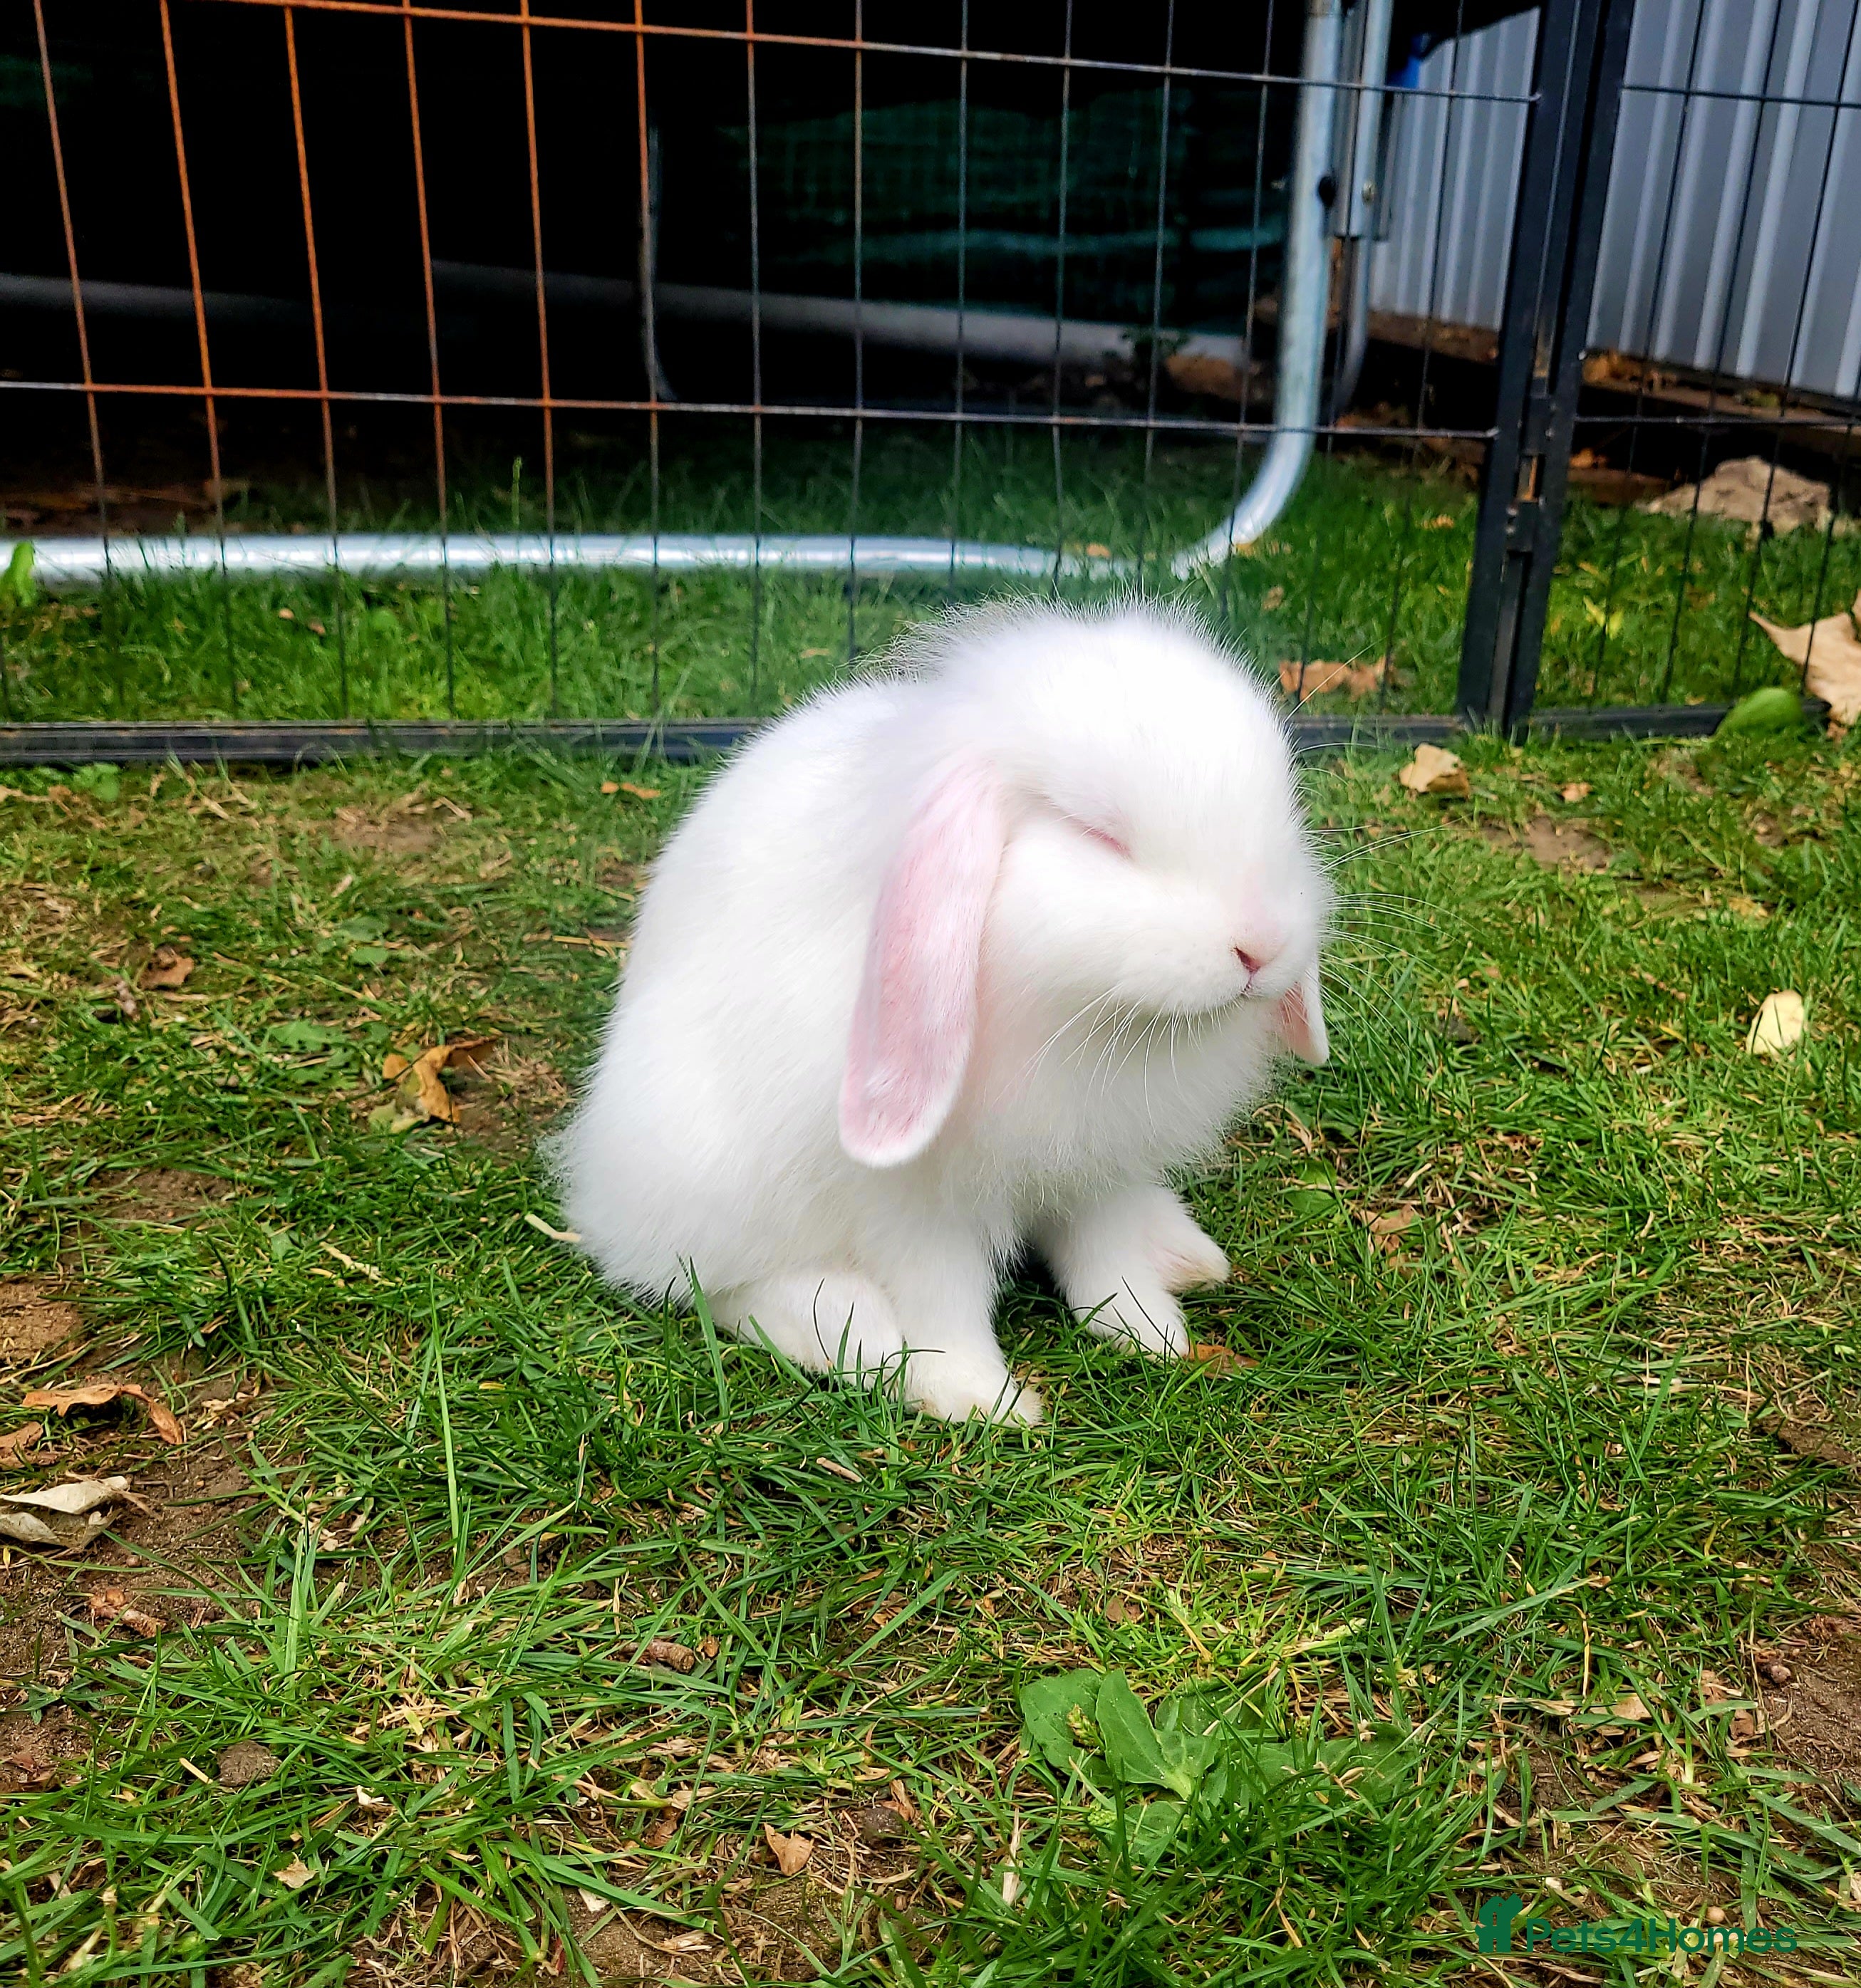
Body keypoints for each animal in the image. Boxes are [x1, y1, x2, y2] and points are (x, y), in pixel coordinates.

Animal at [559, 599, 1331, 1425]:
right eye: (1100, 834)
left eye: (1282, 810)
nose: (1260, 947)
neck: (1084, 1017)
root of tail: (602, 1197)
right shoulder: (910, 1207)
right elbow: (942, 1300)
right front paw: (982, 1399)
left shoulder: (1102, 1169)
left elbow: (1106, 1258)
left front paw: (1148, 1333)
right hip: (707, 1178)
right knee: (720, 1286)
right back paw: (848, 1330)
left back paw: (1185, 1252)